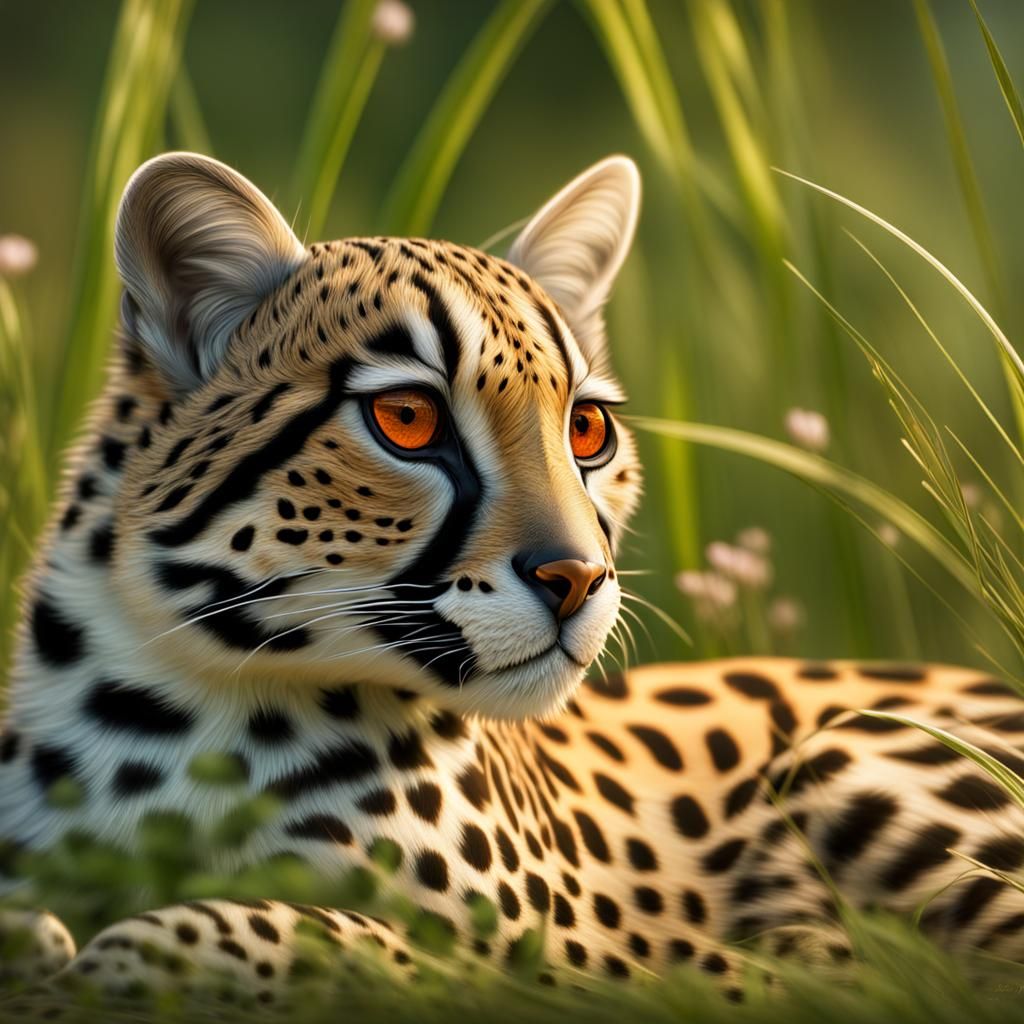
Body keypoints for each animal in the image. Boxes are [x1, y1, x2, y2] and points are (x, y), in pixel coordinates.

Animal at [3, 151, 1024, 1013]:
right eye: (407, 418)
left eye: (587, 430)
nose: (578, 577)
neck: (176, 710)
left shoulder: (589, 961)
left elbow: (368, 945)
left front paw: (130, 954)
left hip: (850, 751)